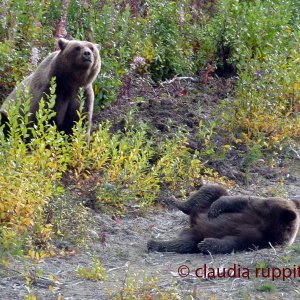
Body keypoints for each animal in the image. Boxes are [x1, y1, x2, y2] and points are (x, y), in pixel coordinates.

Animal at [148, 185, 300, 253]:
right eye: (267, 201)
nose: (253, 200)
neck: (265, 223)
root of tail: (193, 221)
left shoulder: (260, 240)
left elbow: (233, 242)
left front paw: (206, 244)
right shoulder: (248, 210)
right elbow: (236, 200)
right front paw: (216, 209)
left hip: (195, 233)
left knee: (185, 243)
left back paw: (154, 243)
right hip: (205, 204)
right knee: (211, 190)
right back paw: (174, 201)